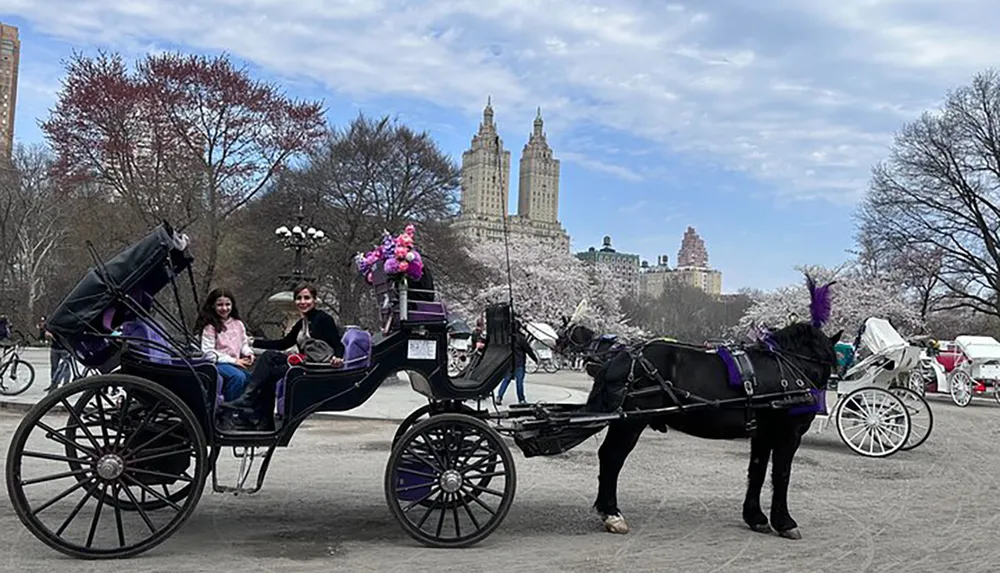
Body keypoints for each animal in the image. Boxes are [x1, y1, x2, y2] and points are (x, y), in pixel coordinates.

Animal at [572, 274, 844, 540]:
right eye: (828, 362)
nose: (825, 387)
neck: (788, 366)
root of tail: (622, 355)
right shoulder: (788, 433)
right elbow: (782, 474)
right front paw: (784, 521)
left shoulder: (763, 434)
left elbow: (757, 471)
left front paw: (755, 517)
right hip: (631, 422)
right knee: (612, 456)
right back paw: (612, 513)